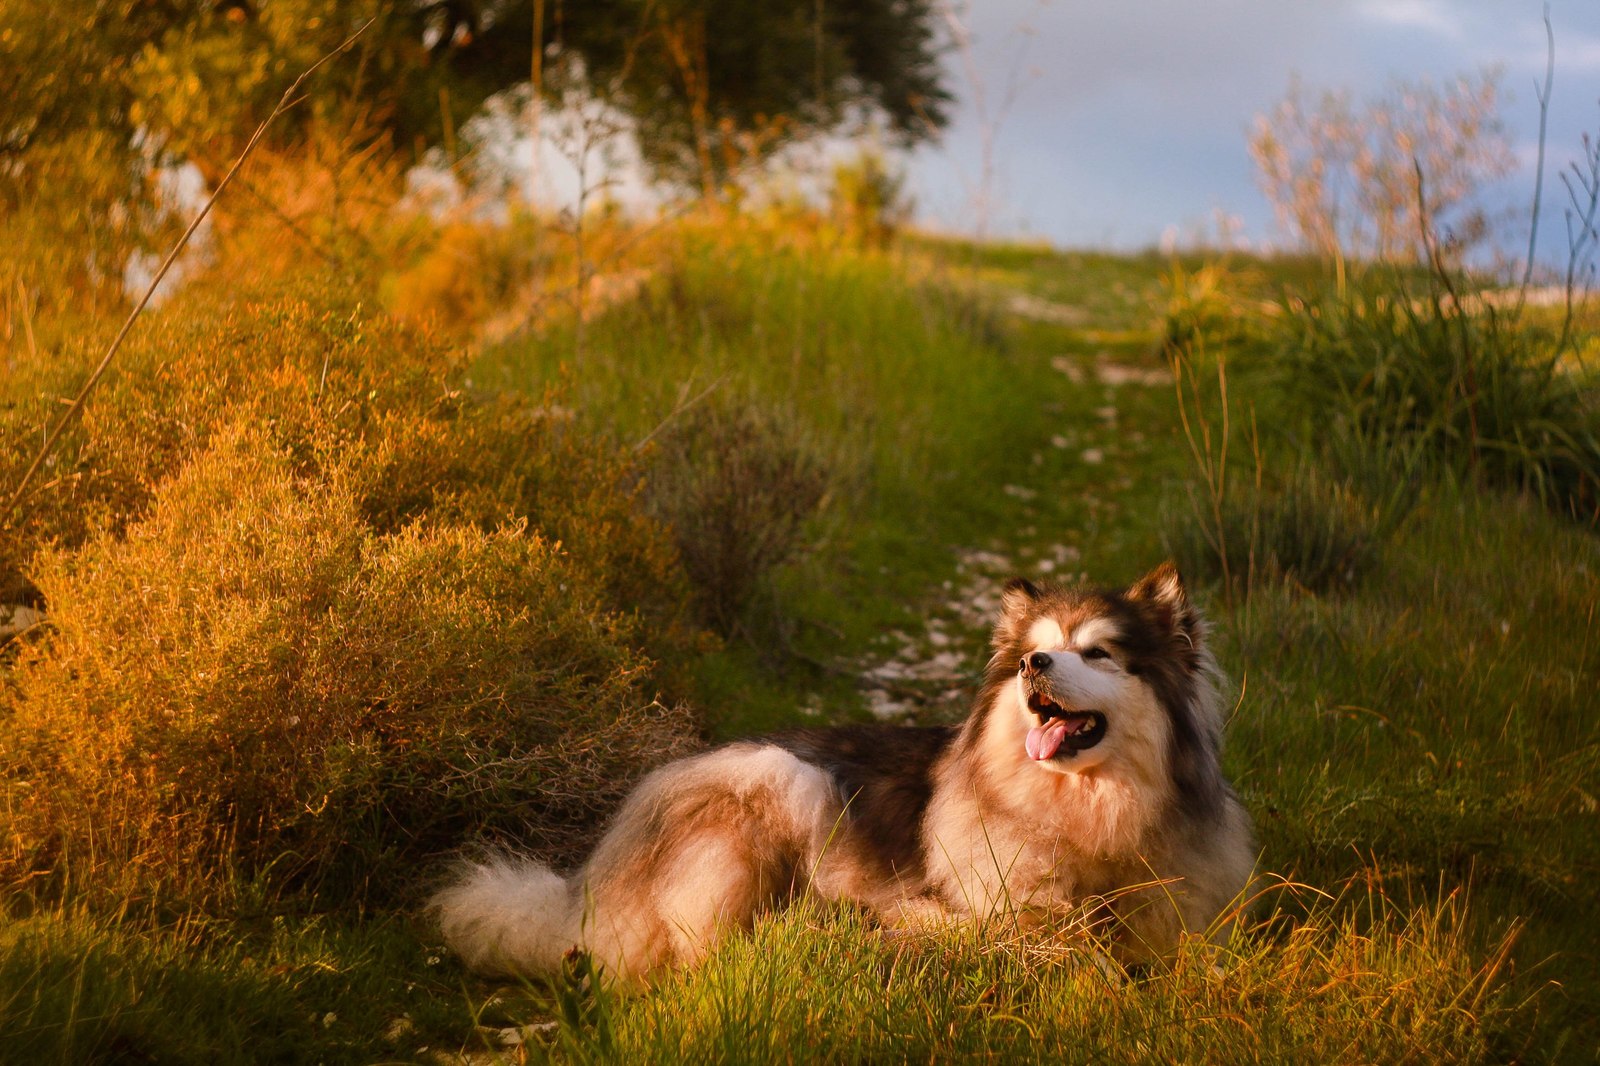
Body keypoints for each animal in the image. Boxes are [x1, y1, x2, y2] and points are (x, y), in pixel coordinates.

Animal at [432, 560, 1254, 985]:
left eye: (1099, 653)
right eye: (1037, 649)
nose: (1034, 666)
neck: (1083, 815)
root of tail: (596, 872)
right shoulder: (1006, 908)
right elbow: (1054, 946)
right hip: (786, 778)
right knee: (705, 951)